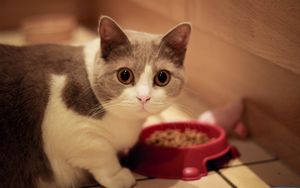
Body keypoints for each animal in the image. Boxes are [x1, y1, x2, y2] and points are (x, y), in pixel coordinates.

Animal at [0, 16, 191, 188]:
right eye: (125, 75)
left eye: (162, 77)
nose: (144, 97)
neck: (125, 123)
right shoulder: (68, 130)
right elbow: (101, 151)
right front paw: (119, 176)